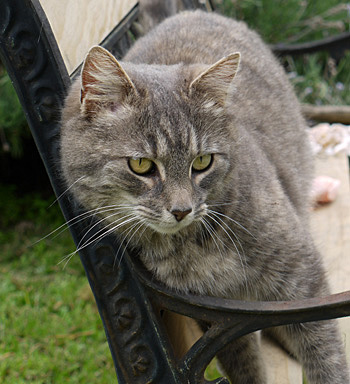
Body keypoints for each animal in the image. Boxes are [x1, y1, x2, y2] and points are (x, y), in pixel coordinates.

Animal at [60, 6, 350, 384]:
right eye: (141, 165)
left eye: (202, 161)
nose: (181, 209)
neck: (192, 246)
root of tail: (187, 11)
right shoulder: (213, 311)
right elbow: (244, 364)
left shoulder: (301, 274)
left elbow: (324, 355)